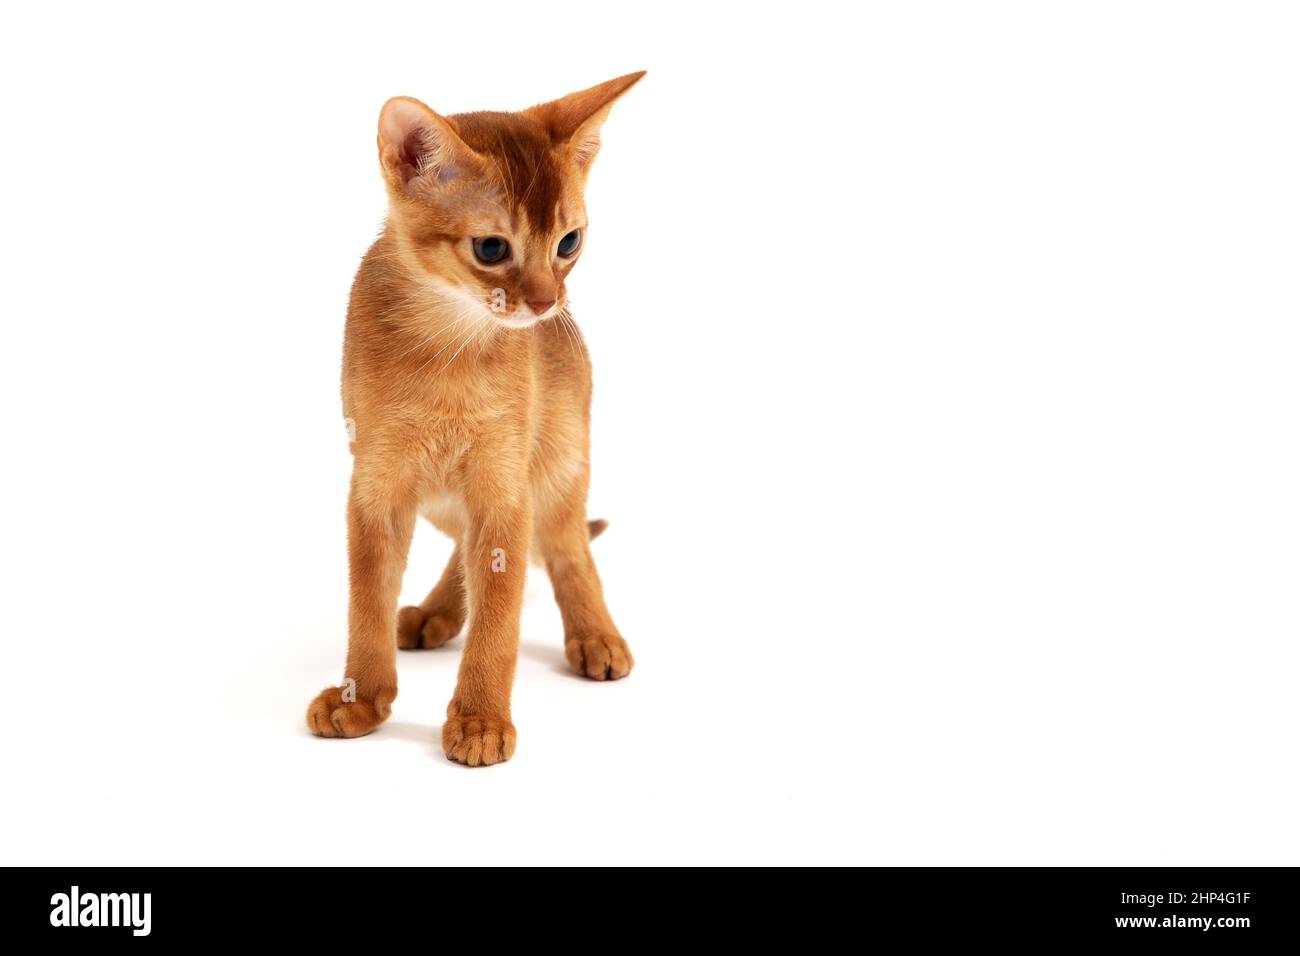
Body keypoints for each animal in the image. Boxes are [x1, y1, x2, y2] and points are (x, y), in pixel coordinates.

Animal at [309, 70, 644, 764]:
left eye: (570, 242)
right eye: (492, 248)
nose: (545, 303)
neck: (446, 350)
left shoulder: (503, 485)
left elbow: (502, 613)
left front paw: (481, 720)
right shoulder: (375, 486)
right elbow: (366, 604)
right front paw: (362, 699)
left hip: (559, 466)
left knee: (567, 546)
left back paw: (596, 636)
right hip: (441, 499)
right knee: (465, 545)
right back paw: (435, 613)